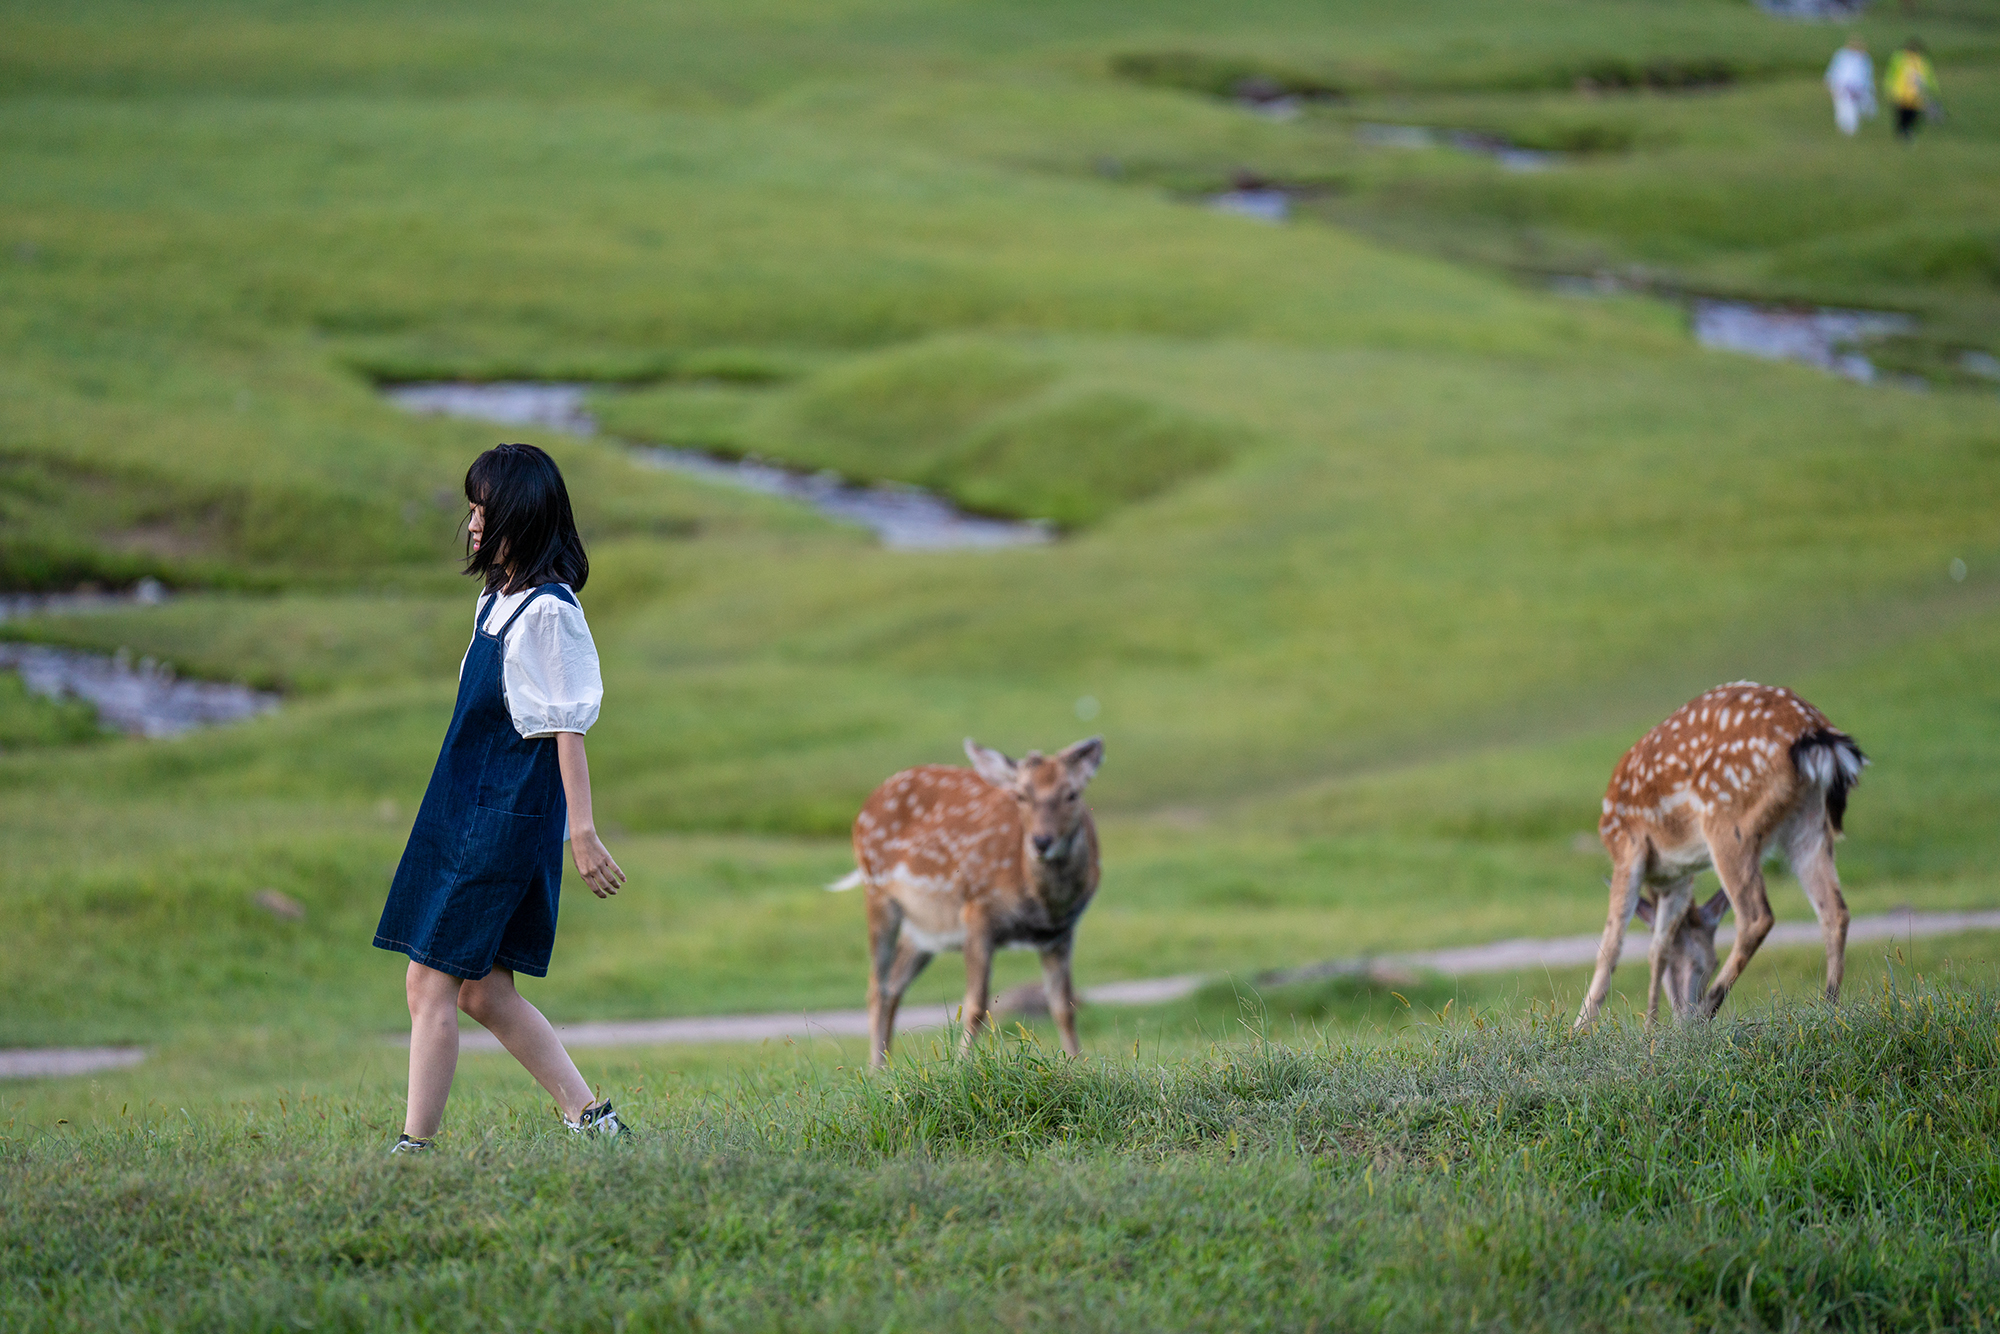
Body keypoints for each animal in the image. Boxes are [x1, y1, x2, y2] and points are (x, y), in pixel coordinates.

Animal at [828, 736, 1112, 1072]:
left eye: (1072, 794)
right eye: (1021, 795)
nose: (1042, 841)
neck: (1040, 902)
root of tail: (867, 805)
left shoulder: (1061, 932)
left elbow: (1064, 1007)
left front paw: (1077, 1064)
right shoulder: (978, 911)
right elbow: (976, 1005)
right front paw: (962, 1066)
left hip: (925, 928)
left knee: (894, 985)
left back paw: (884, 1065)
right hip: (877, 890)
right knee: (877, 985)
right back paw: (876, 1069)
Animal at [1568, 684, 1864, 1032]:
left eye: (1710, 962)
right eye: (1694, 962)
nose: (1682, 1013)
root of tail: (1817, 735)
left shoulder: (1628, 847)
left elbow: (1611, 945)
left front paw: (1580, 1028)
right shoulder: (1679, 876)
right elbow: (1658, 948)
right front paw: (1650, 1026)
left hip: (1727, 822)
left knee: (1757, 916)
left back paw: (1707, 1009)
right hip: (1809, 825)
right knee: (1835, 911)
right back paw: (1829, 1007)